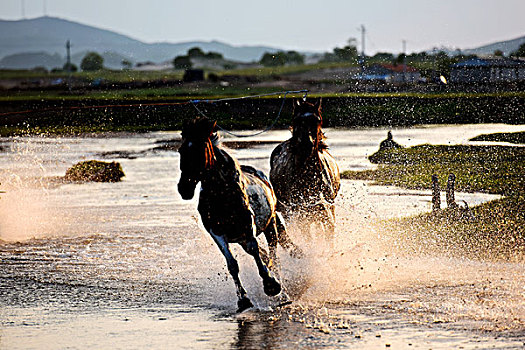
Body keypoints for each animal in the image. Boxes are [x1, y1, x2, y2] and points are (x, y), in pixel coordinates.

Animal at [176, 117, 298, 312]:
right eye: (181, 150)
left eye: (201, 148)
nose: (184, 188)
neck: (222, 195)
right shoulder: (217, 232)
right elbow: (232, 264)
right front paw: (243, 300)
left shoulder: (248, 228)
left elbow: (256, 252)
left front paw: (271, 285)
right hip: (241, 238)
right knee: (266, 255)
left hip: (270, 225)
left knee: (273, 254)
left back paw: (282, 292)